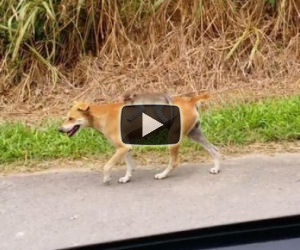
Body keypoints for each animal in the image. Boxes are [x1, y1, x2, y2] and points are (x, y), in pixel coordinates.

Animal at [59, 94, 221, 184]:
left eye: (71, 118)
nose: (59, 130)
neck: (100, 114)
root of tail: (190, 100)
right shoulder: (126, 148)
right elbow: (130, 165)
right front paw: (127, 178)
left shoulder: (122, 148)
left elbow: (107, 165)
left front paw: (106, 178)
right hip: (194, 133)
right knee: (214, 149)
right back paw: (216, 168)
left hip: (174, 138)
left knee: (174, 162)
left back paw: (162, 175)